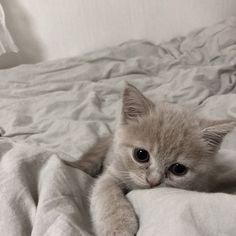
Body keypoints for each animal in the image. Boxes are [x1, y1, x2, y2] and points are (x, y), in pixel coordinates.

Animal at [67, 84, 235, 236]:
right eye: (141, 155)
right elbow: (106, 192)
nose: (153, 181)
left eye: (178, 169)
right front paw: (117, 226)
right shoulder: (112, 173)